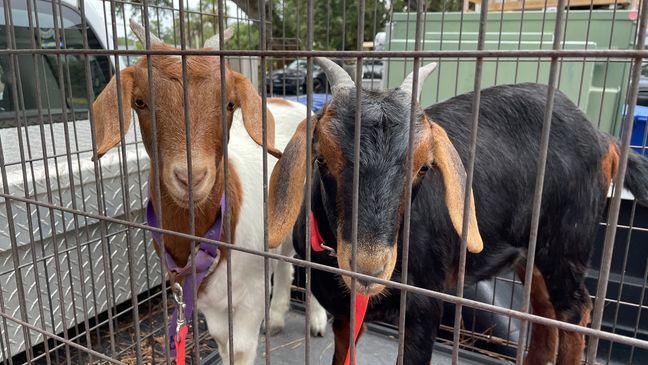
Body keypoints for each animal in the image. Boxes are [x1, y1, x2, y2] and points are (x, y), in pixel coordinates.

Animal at [90, 20, 330, 364]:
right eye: (140, 102)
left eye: (229, 104)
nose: (191, 177)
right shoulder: (206, 300)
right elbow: (221, 341)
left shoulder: (250, 296)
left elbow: (240, 348)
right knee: (286, 260)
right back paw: (276, 318)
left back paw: (317, 321)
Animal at [268, 58, 648, 362]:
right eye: (321, 159)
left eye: (424, 167)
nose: (369, 268)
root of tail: (603, 137)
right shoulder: (347, 317)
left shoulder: (423, 308)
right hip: (533, 252)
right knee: (544, 311)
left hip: (566, 241)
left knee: (573, 311)